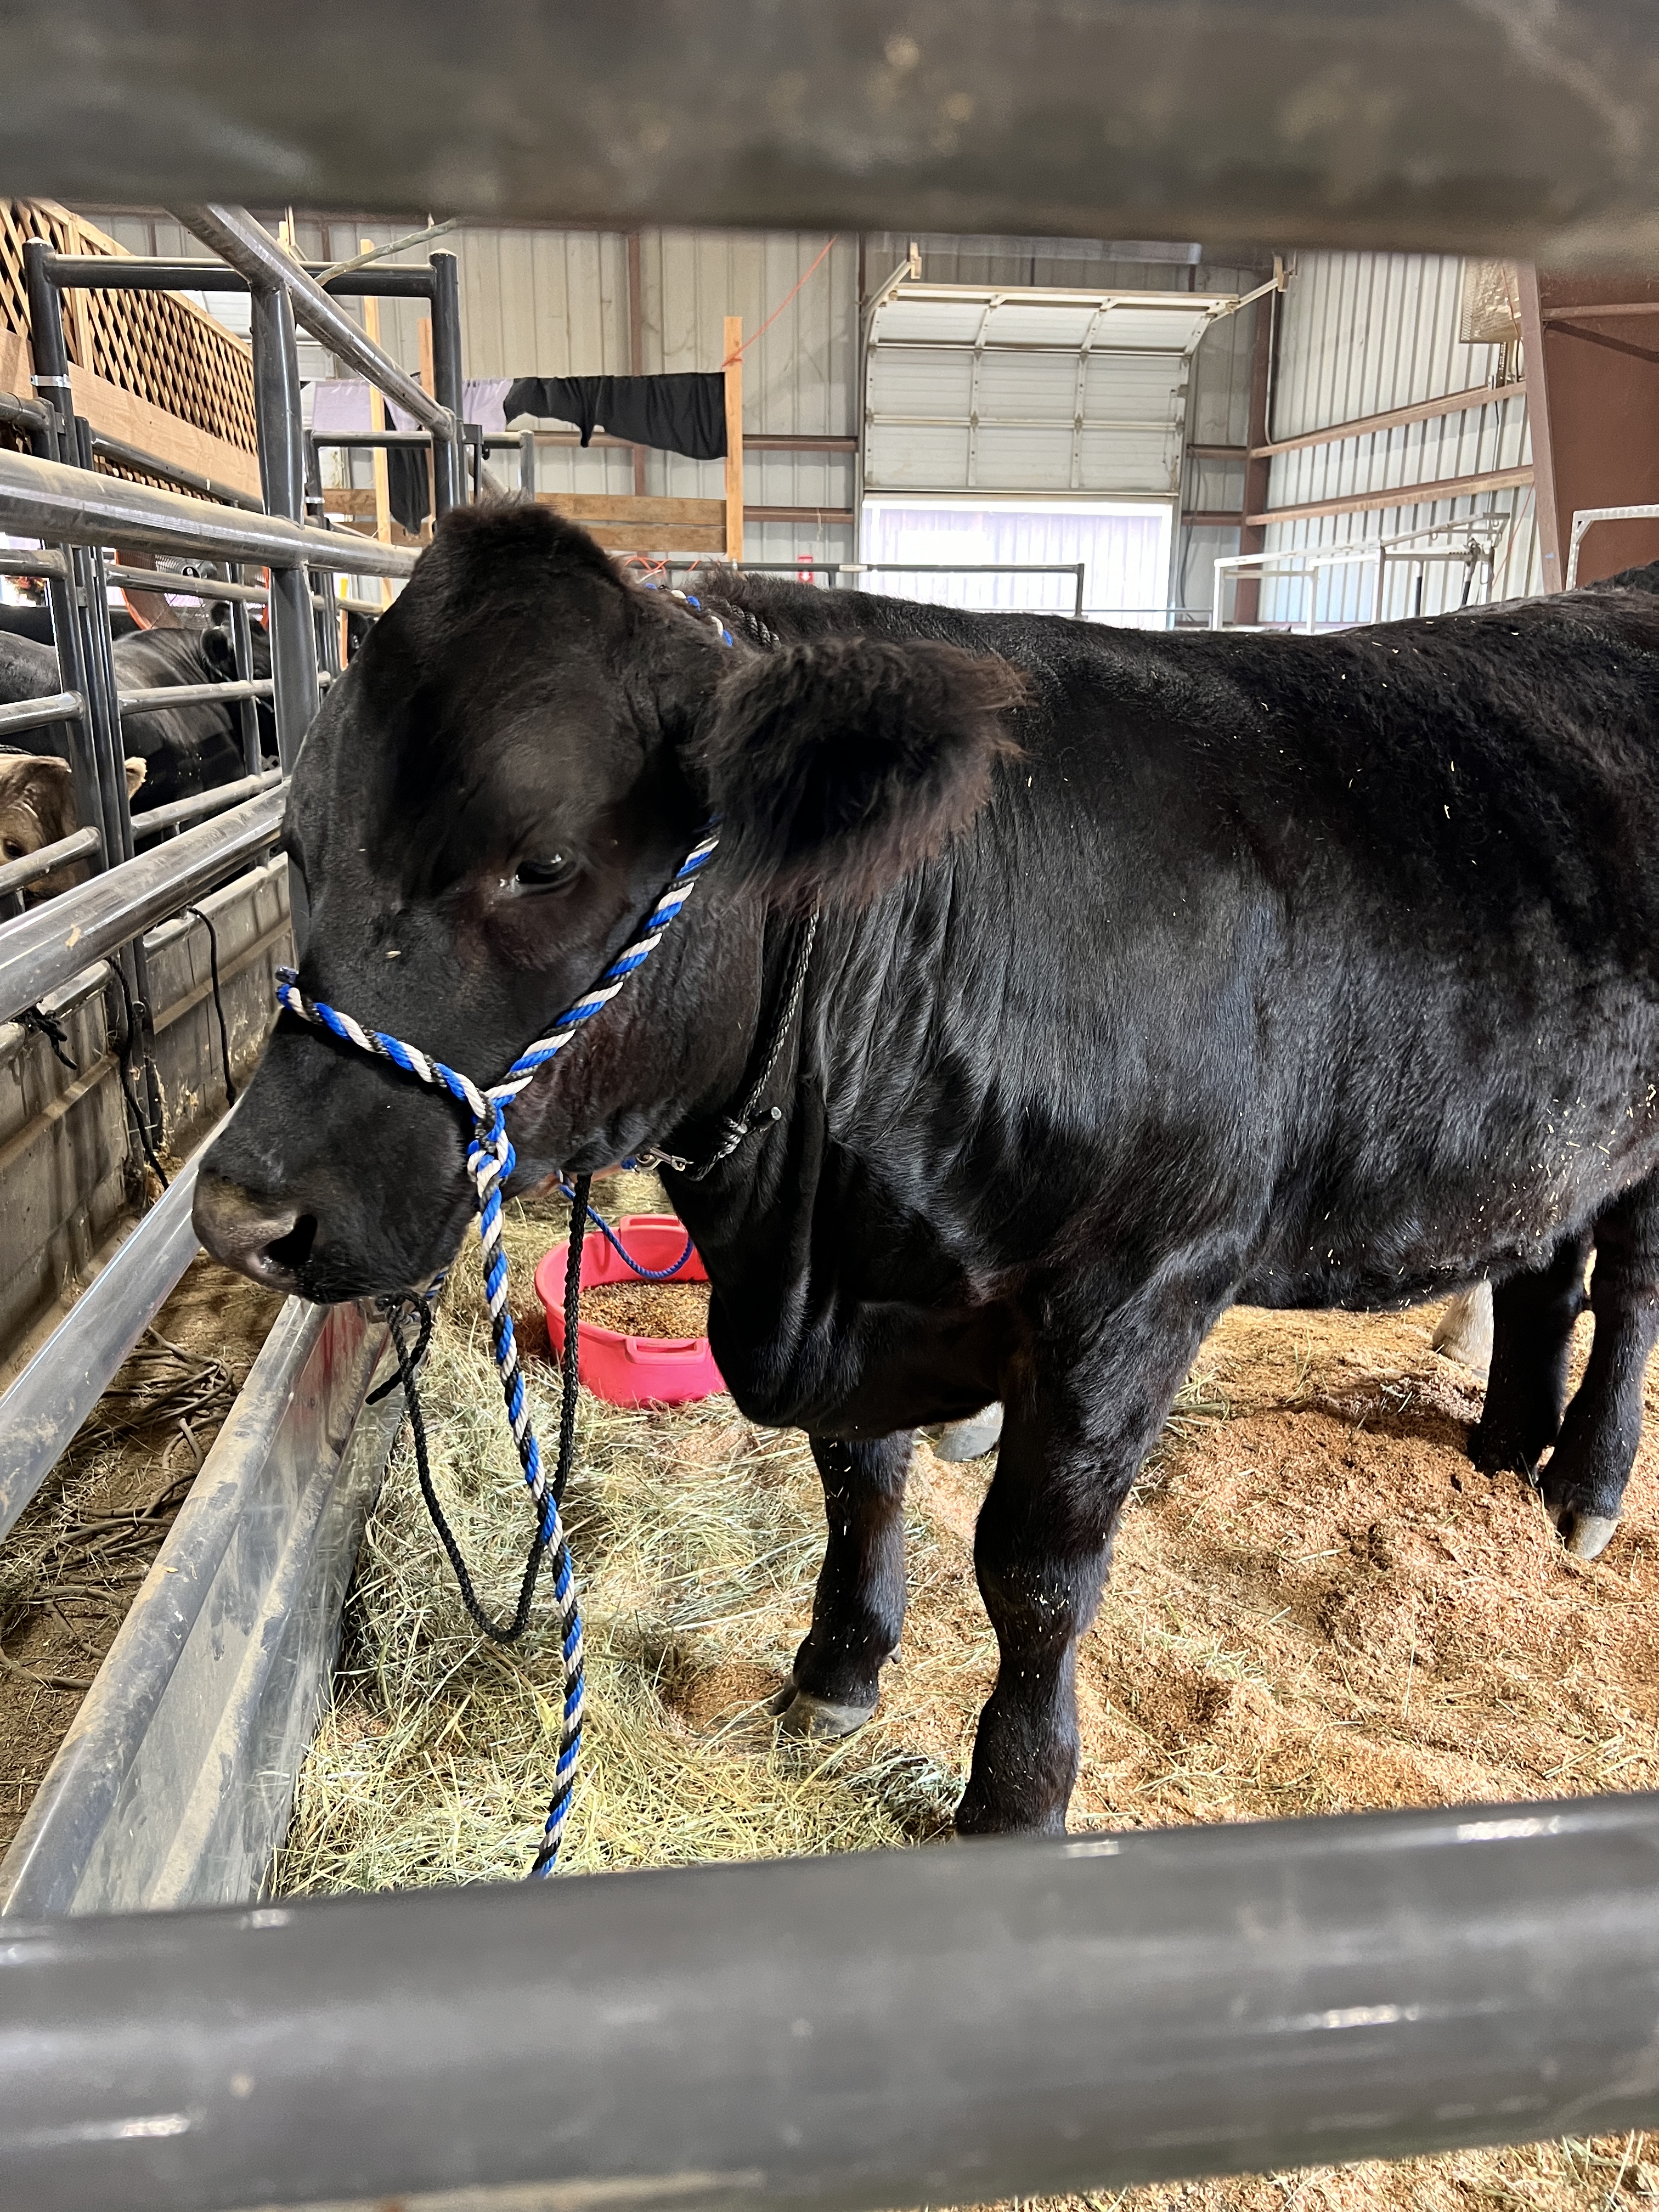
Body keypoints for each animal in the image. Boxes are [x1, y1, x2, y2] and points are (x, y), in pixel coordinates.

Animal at [190, 502, 1659, 1838]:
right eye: (300, 847)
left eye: (540, 860)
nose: (239, 1211)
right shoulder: (866, 1297)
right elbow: (860, 1480)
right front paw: (837, 1673)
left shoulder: (1144, 1286)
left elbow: (1036, 1572)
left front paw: (1014, 1798)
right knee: (1544, 1267)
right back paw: (1503, 1448)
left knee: (1626, 1291)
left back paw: (1584, 1488)